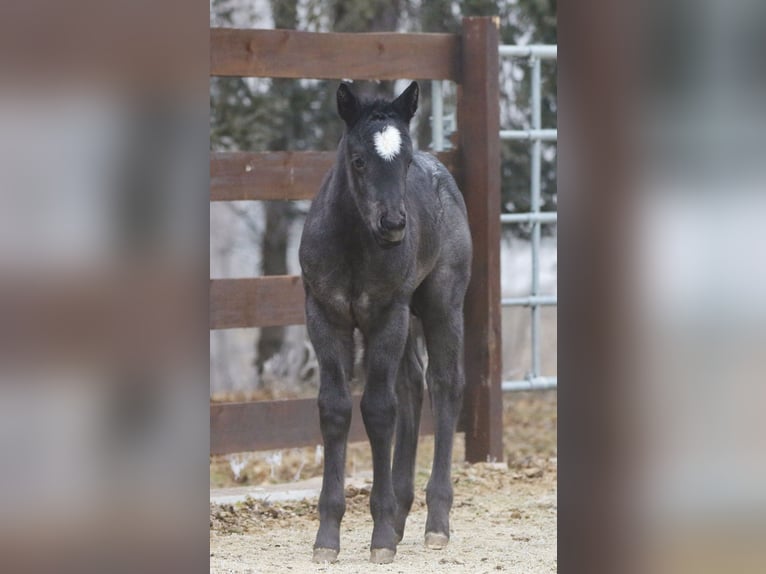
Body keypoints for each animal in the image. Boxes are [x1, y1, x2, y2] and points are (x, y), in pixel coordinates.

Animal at [296, 81, 472, 568]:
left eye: (405, 161)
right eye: (358, 160)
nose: (394, 224)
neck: (354, 244)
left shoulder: (386, 315)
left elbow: (377, 410)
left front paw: (380, 537)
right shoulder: (324, 316)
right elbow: (335, 408)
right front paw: (328, 537)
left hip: (440, 303)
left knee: (444, 384)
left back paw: (435, 522)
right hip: (407, 316)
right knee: (411, 384)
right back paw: (401, 513)